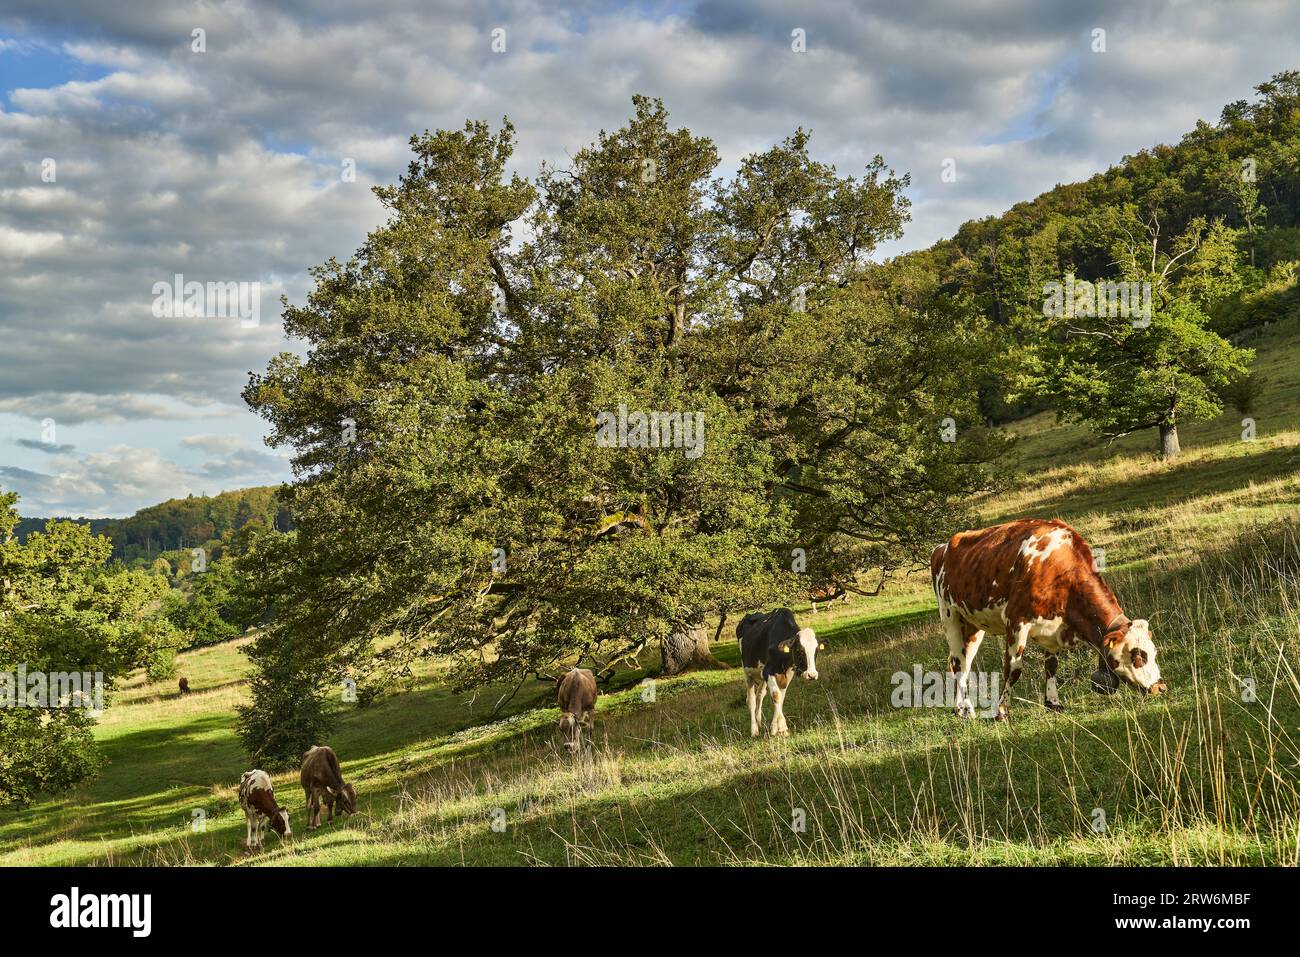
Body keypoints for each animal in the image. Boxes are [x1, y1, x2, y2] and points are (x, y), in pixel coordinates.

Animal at [738, 608, 816, 738]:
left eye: (816, 650)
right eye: (799, 650)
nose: (812, 675)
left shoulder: (788, 673)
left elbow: (781, 697)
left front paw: (775, 728)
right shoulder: (768, 671)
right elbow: (776, 695)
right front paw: (783, 729)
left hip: (761, 676)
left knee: (760, 695)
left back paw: (759, 722)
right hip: (747, 673)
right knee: (751, 700)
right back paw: (754, 730)